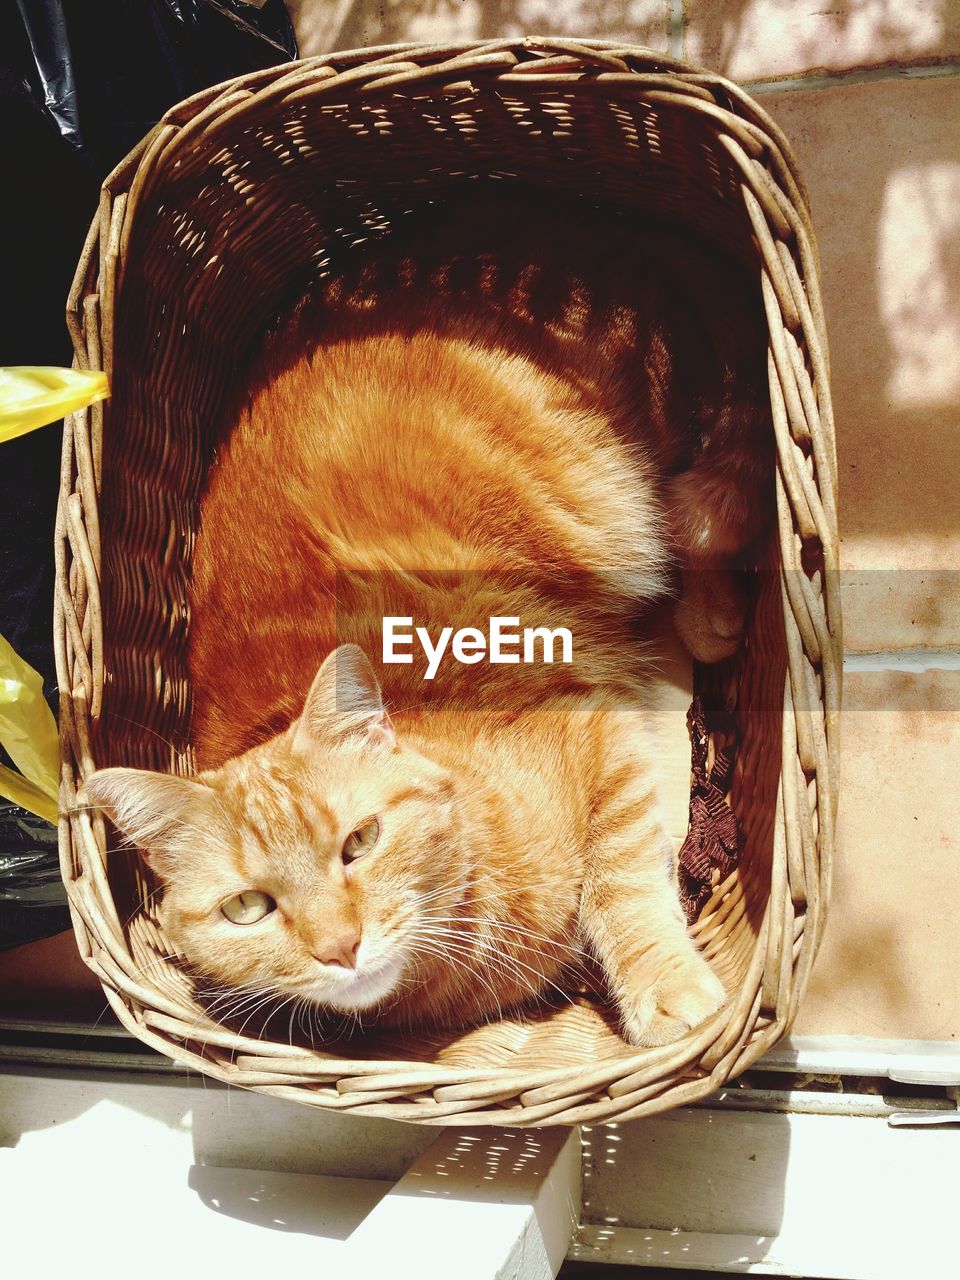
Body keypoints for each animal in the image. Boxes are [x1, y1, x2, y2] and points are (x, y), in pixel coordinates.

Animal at [88, 192, 773, 1049]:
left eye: (360, 842)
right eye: (247, 908)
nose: (339, 947)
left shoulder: (591, 723)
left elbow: (622, 879)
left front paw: (664, 984)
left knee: (705, 528)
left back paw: (713, 618)